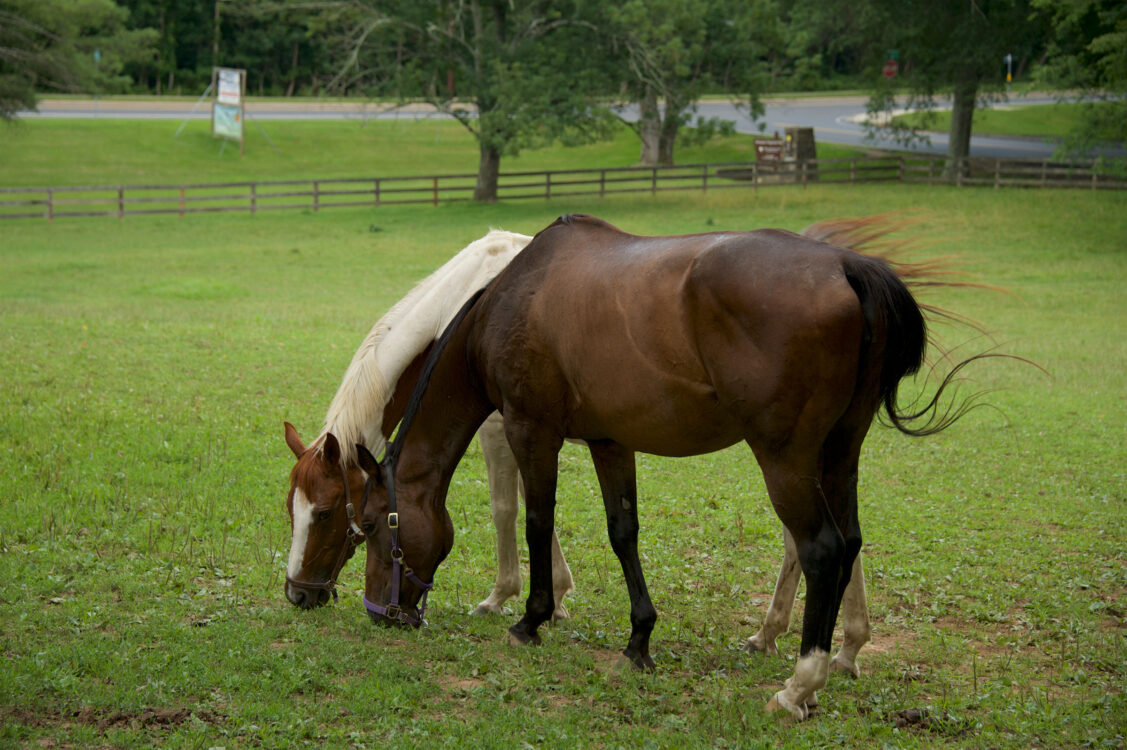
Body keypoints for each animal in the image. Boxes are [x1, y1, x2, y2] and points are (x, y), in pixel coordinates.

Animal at [356, 212, 982, 721]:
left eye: (368, 526)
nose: (382, 613)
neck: (511, 298)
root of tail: (847, 265)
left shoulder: (530, 431)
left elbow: (536, 521)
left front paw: (530, 619)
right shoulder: (609, 441)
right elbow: (623, 533)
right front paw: (639, 641)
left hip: (785, 458)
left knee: (822, 550)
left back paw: (799, 686)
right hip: (839, 452)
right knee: (849, 542)